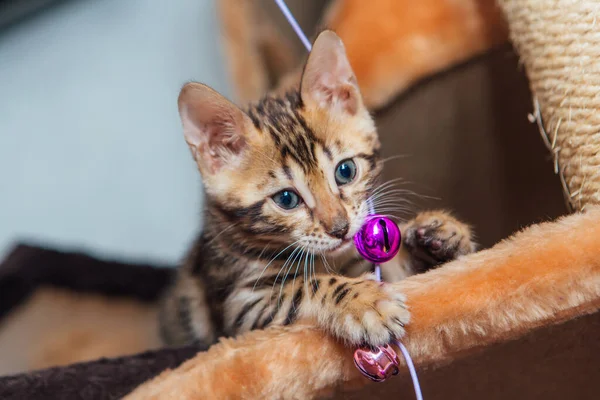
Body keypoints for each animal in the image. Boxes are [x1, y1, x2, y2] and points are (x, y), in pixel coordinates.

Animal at [158, 31, 474, 348]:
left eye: (345, 171)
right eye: (286, 199)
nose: (340, 229)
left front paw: (437, 233)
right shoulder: (241, 306)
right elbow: (305, 285)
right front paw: (364, 302)